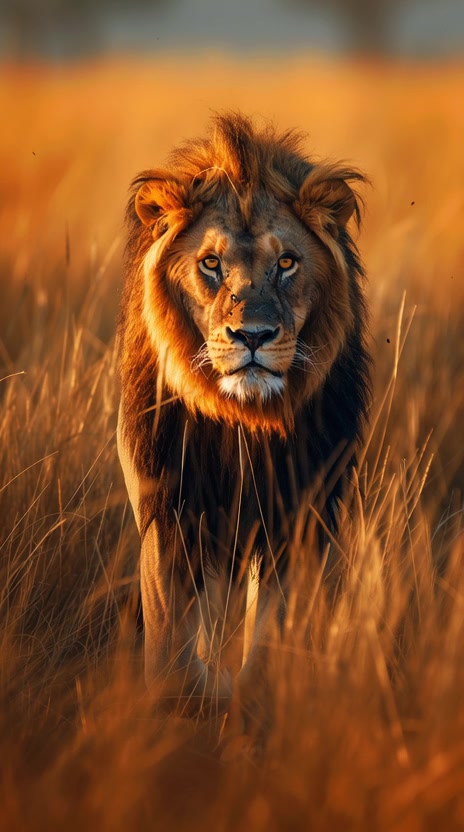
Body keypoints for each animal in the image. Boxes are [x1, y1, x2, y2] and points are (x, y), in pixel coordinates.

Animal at [117, 113, 371, 720]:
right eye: (211, 263)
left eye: (286, 263)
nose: (252, 336)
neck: (244, 423)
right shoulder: (169, 507)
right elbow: (169, 633)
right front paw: (185, 698)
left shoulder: (298, 511)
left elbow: (276, 625)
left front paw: (259, 698)